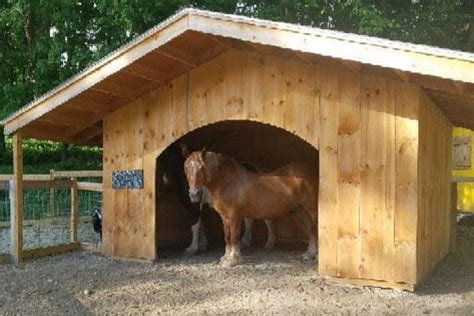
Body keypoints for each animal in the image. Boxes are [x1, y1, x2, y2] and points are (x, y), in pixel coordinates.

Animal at [183, 149, 316, 266]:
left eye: (202, 168)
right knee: (310, 229)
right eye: (186, 168)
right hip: (300, 211)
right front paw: (226, 257)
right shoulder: (225, 217)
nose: (194, 195)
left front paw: (233, 260)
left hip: (310, 209)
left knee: (314, 229)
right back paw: (309, 254)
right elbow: (227, 237)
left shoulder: (234, 216)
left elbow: (234, 237)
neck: (227, 182)